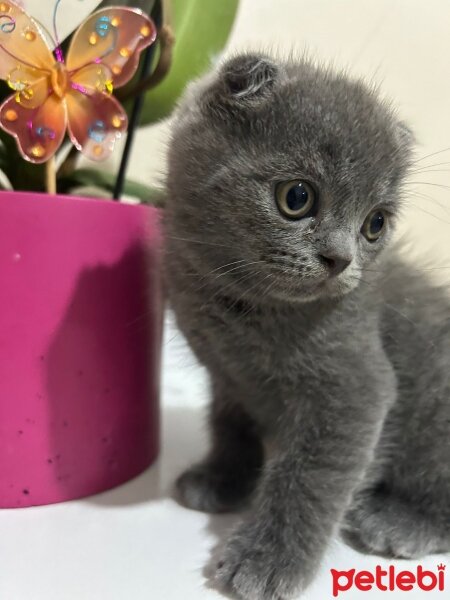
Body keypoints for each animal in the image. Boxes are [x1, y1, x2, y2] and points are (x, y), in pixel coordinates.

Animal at [163, 52, 450, 600]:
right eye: (297, 197)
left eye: (375, 224)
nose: (340, 259)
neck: (242, 311)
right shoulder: (226, 379)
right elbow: (229, 427)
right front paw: (221, 479)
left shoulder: (356, 385)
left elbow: (312, 476)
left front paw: (267, 560)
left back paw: (399, 522)